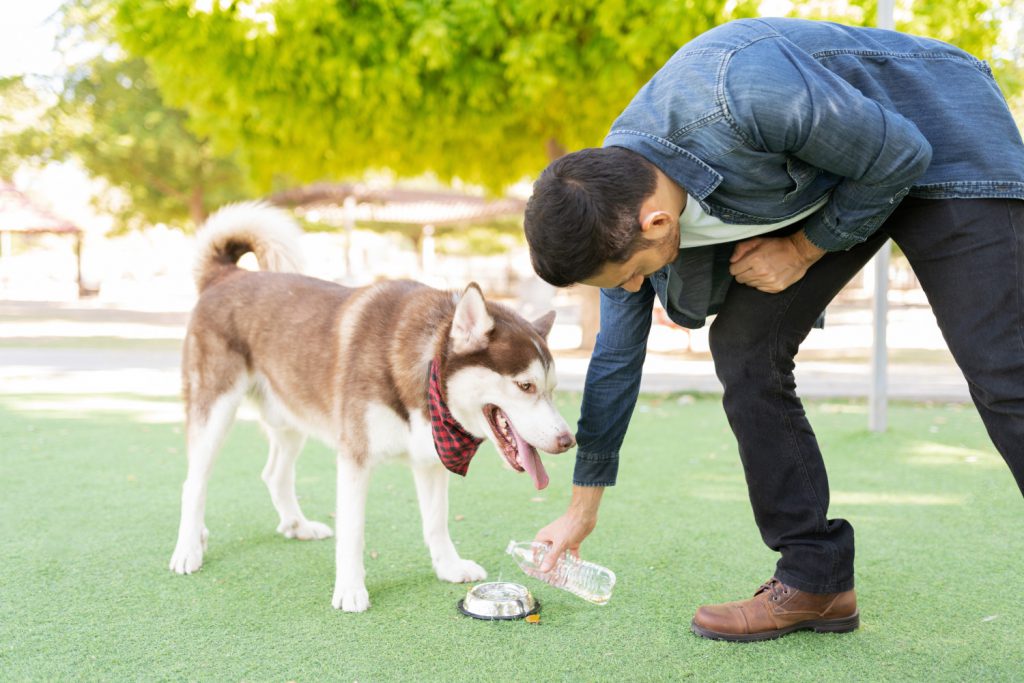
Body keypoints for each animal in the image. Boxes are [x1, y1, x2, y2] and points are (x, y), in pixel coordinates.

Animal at [169, 204, 577, 614]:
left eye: (552, 389)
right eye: (525, 386)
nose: (568, 440)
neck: (423, 373)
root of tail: (226, 275)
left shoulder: (429, 459)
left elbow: (437, 521)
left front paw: (448, 567)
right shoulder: (355, 459)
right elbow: (353, 531)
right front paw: (350, 589)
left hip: (290, 416)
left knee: (275, 475)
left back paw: (297, 526)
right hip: (216, 409)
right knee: (193, 483)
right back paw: (188, 548)